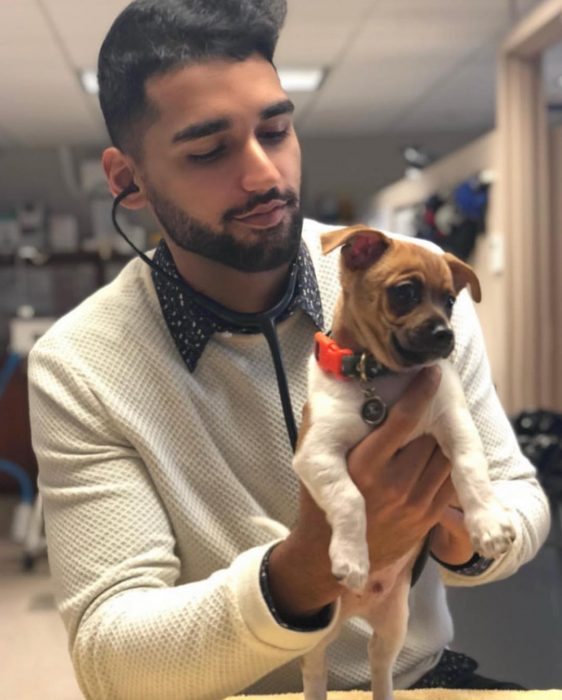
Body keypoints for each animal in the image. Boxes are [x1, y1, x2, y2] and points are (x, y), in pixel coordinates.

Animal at [296, 226, 516, 700]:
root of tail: (356, 610)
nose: (447, 335)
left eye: (450, 300)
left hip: (393, 626)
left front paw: (488, 524)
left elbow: (471, 471)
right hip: (319, 636)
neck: (379, 378)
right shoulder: (317, 453)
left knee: (381, 670)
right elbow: (350, 499)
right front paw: (351, 557)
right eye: (405, 293)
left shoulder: (455, 427)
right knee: (315, 672)